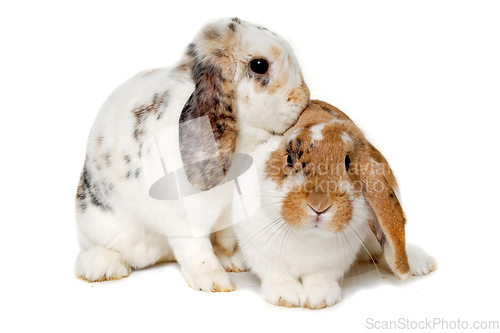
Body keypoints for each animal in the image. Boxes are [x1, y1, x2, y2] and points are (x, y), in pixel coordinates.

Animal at [73, 16, 308, 290]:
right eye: (259, 65)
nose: (305, 95)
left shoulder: (228, 213)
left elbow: (225, 238)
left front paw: (234, 261)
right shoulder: (185, 219)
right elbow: (196, 252)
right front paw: (215, 282)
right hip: (99, 226)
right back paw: (105, 268)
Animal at [232, 100, 436, 308]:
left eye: (347, 162)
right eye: (289, 158)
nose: (319, 206)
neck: (307, 237)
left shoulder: (331, 264)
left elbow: (320, 278)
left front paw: (318, 298)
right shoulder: (261, 252)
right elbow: (277, 274)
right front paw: (286, 296)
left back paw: (419, 263)